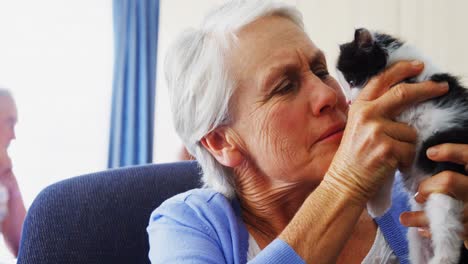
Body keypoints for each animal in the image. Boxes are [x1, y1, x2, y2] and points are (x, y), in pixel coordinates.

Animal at [336, 27, 468, 262]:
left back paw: (443, 257)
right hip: (415, 237)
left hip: (444, 179)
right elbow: (383, 169)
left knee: (447, 226)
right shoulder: (389, 134)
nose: (350, 102)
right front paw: (378, 206)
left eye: (351, 81)